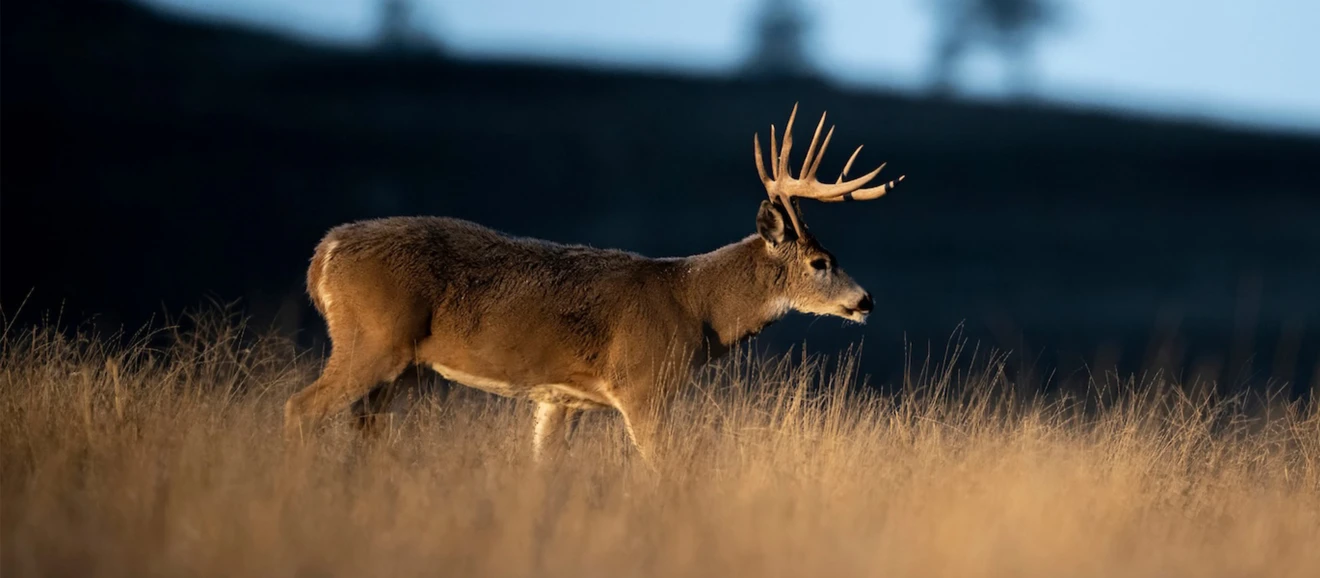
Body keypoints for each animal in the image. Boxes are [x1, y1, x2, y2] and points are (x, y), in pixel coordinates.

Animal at [282, 103, 902, 464]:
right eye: (821, 261)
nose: (867, 300)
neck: (694, 305)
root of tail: (323, 255)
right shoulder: (643, 385)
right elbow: (664, 472)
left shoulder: (562, 399)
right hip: (372, 340)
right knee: (300, 408)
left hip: (401, 366)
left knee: (362, 426)